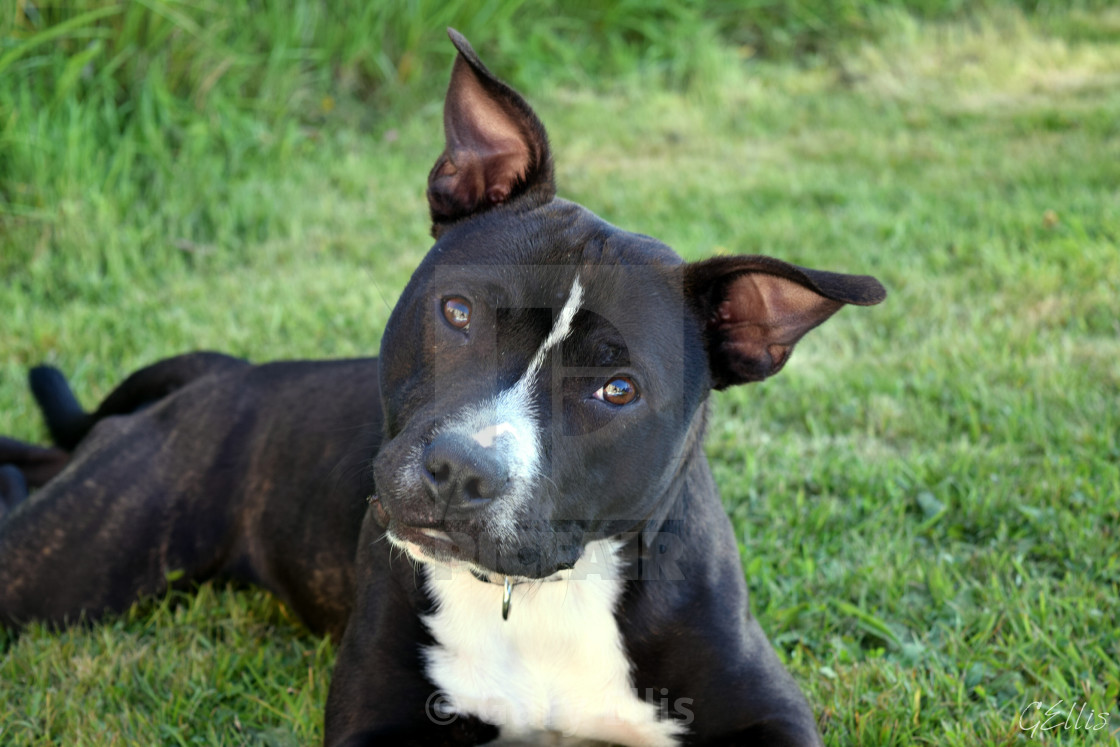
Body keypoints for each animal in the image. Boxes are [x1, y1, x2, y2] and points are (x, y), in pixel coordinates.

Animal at [0, 30, 882, 747]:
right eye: (458, 312)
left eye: (617, 389)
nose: (460, 469)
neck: (540, 597)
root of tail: (231, 374)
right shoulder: (379, 718)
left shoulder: (765, 706)